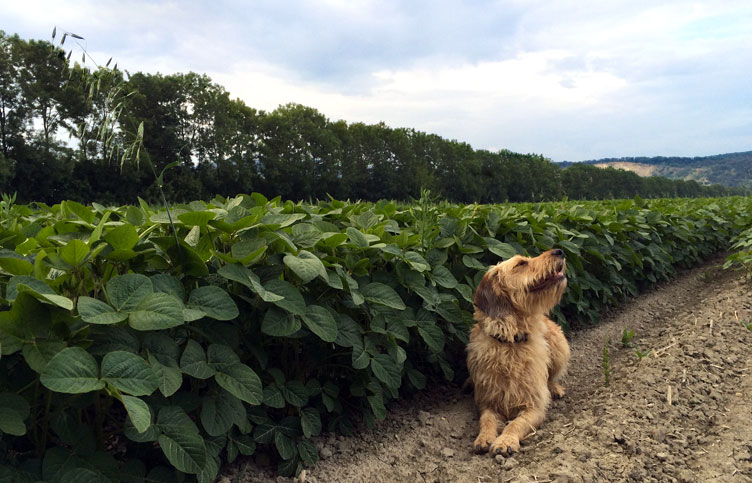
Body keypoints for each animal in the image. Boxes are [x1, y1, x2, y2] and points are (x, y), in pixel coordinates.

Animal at [464, 250, 568, 458]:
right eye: (521, 264)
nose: (559, 251)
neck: (510, 342)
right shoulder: (488, 402)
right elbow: (486, 420)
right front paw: (484, 438)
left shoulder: (534, 405)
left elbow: (516, 423)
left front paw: (505, 441)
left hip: (559, 345)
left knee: (552, 376)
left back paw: (555, 388)